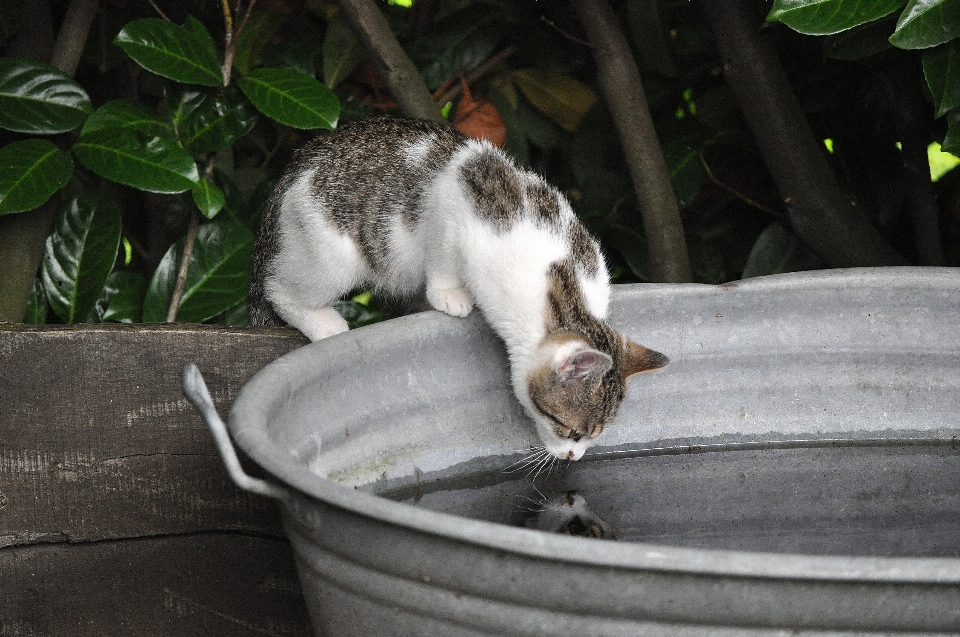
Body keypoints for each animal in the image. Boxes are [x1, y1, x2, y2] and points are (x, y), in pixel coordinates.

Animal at [248, 117, 668, 460]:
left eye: (593, 437)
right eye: (571, 430)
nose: (572, 457)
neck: (560, 286)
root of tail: (305, 155)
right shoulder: (450, 205)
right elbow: (443, 254)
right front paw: (448, 294)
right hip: (331, 251)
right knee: (280, 287)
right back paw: (322, 322)